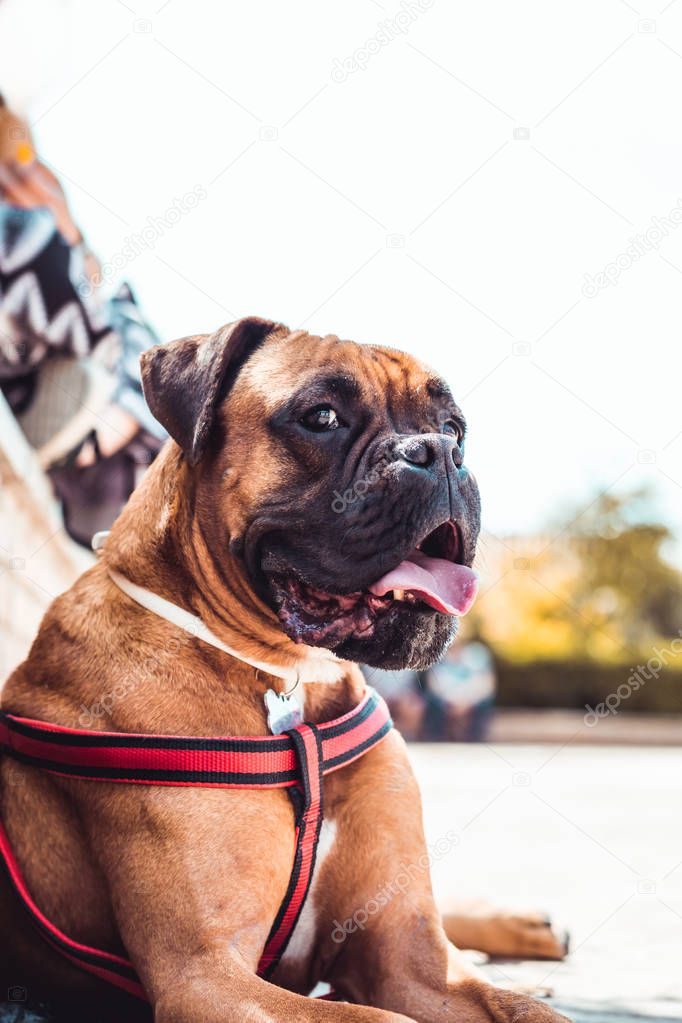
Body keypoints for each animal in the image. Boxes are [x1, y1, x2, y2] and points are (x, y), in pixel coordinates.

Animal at [0, 315, 568, 1018]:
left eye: (454, 426)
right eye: (321, 417)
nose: (438, 453)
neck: (288, 677)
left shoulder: (409, 954)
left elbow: (517, 1007)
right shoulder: (207, 976)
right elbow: (374, 1016)